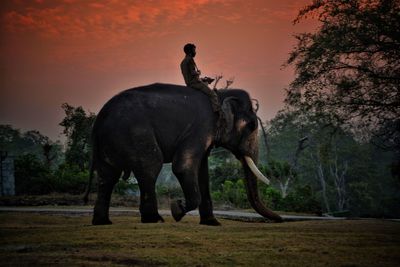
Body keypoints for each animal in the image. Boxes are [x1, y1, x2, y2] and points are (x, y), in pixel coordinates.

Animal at [83, 83, 282, 226]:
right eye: (252, 126)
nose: (280, 219)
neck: (219, 95)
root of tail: (99, 119)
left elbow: (203, 172)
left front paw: (212, 223)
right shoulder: (201, 127)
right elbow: (182, 167)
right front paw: (176, 209)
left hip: (110, 142)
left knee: (108, 177)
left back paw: (103, 222)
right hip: (134, 134)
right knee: (150, 166)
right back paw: (154, 220)